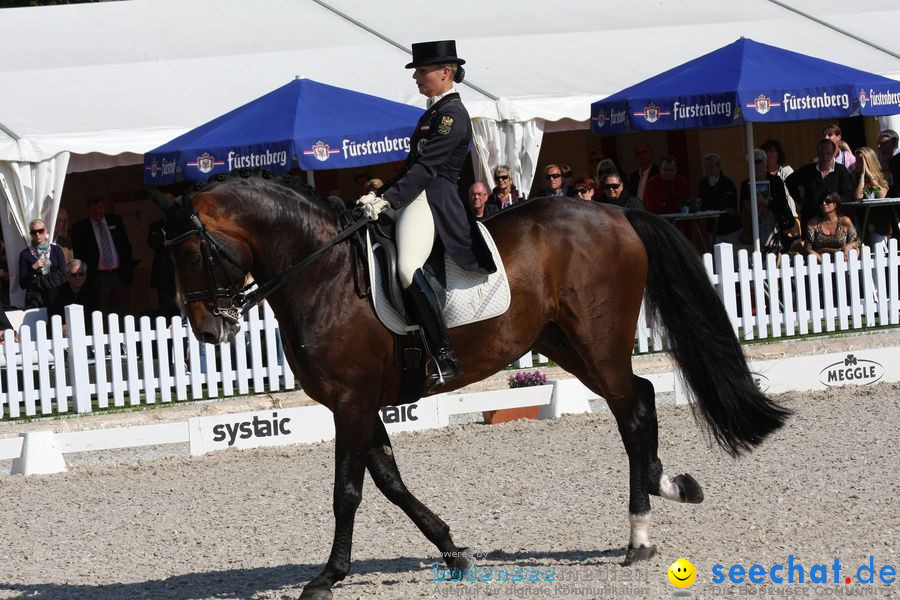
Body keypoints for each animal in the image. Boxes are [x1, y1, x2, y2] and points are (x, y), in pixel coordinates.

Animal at [160, 171, 788, 596]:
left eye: (191, 252)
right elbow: (390, 481)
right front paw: (453, 550)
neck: (322, 273)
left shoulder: (351, 402)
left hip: (597, 341)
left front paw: (328, 576)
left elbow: (349, 491)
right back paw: (668, 490)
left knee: (631, 409)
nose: (207, 329)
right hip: (566, 343)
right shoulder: (361, 404)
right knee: (640, 398)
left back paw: (639, 536)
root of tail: (616, 214)